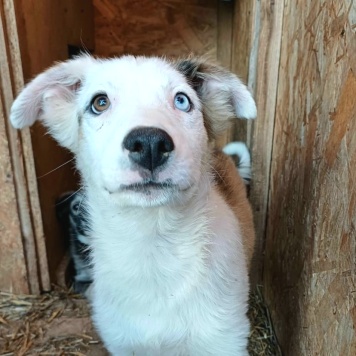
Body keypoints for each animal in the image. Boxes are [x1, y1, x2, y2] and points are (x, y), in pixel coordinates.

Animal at [9, 54, 256, 354]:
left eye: (182, 100)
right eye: (99, 102)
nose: (149, 144)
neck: (152, 249)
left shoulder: (223, 340)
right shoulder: (123, 344)